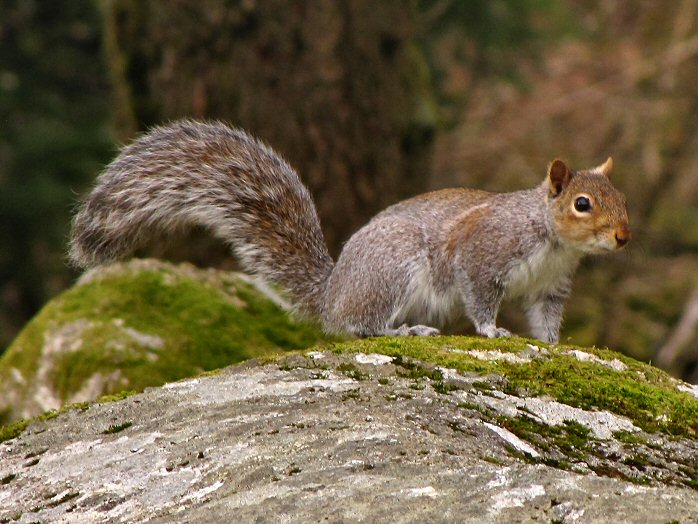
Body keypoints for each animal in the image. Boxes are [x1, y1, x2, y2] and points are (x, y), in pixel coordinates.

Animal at [68, 121, 628, 346]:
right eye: (582, 204)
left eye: (623, 199)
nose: (623, 238)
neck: (552, 240)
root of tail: (332, 293)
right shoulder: (483, 254)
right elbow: (479, 296)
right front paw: (491, 331)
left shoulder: (549, 287)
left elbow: (546, 319)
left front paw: (554, 345)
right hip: (393, 270)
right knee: (360, 326)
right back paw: (404, 331)